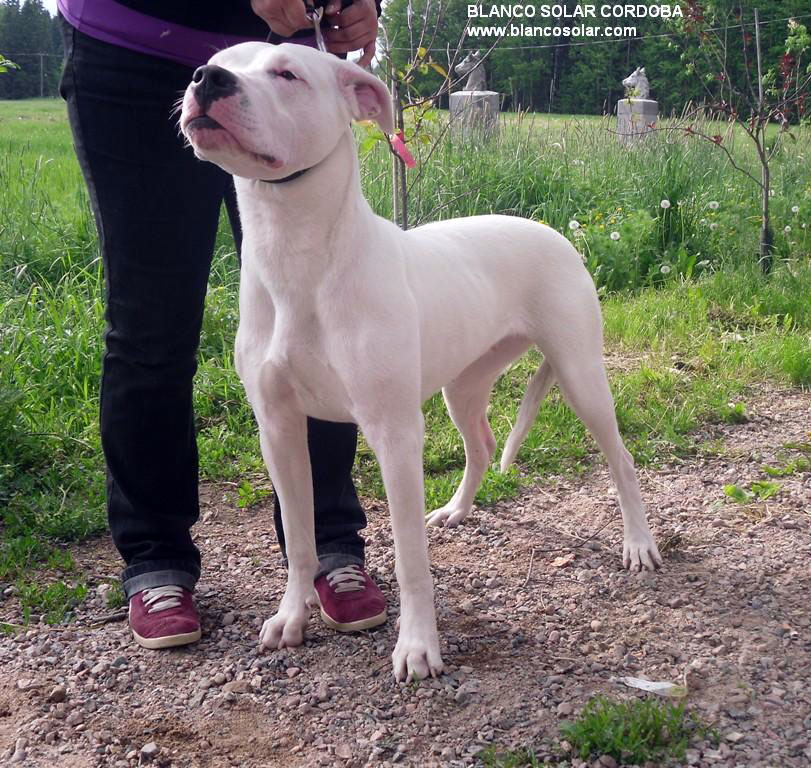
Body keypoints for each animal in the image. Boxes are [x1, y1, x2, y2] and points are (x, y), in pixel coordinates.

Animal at [181, 42, 664, 680]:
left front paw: (416, 645)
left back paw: (639, 544)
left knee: (622, 460)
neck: (298, 259)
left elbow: (410, 556)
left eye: (287, 73)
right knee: (482, 447)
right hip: (463, 387)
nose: (206, 79)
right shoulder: (279, 429)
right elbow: (302, 537)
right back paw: (457, 511)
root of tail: (560, 236)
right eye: (216, 60)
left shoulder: (394, 432)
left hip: (581, 376)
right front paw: (292, 616)